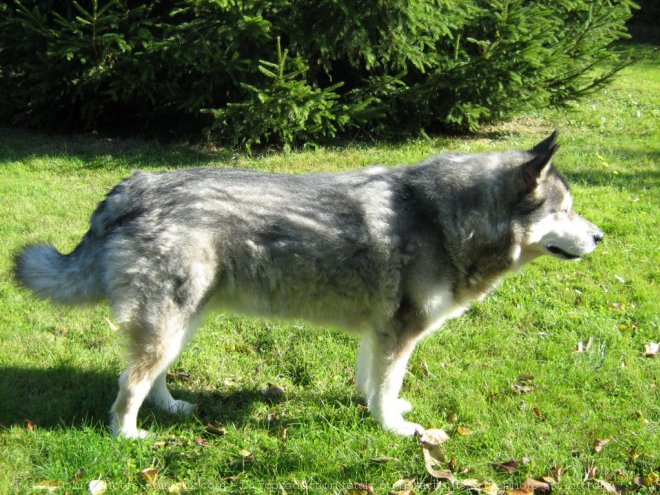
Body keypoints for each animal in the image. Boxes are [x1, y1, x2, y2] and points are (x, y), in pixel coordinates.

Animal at [14, 131, 604, 438]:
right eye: (566, 211)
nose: (601, 236)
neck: (448, 220)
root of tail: (130, 188)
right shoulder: (399, 336)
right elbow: (387, 389)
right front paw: (397, 430)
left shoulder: (380, 335)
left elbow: (374, 384)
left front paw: (383, 411)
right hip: (169, 324)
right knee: (128, 385)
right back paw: (129, 437)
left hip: (184, 323)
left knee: (149, 378)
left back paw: (171, 409)